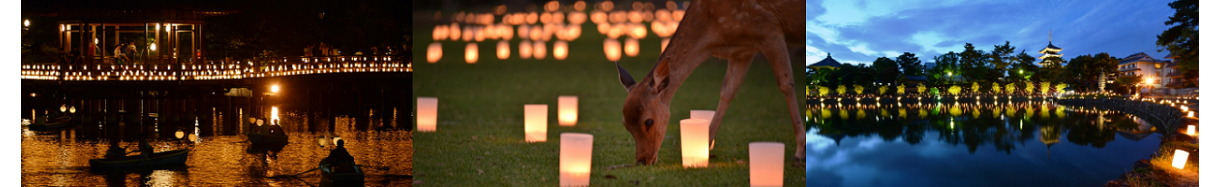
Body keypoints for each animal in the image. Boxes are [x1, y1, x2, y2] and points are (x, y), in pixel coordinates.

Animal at [614, 0, 805, 163]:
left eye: (649, 121)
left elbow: (785, 83)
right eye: (625, 124)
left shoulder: (770, 29)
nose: (642, 160)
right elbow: (728, 90)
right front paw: (705, 144)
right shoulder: (742, 50)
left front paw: (799, 151)